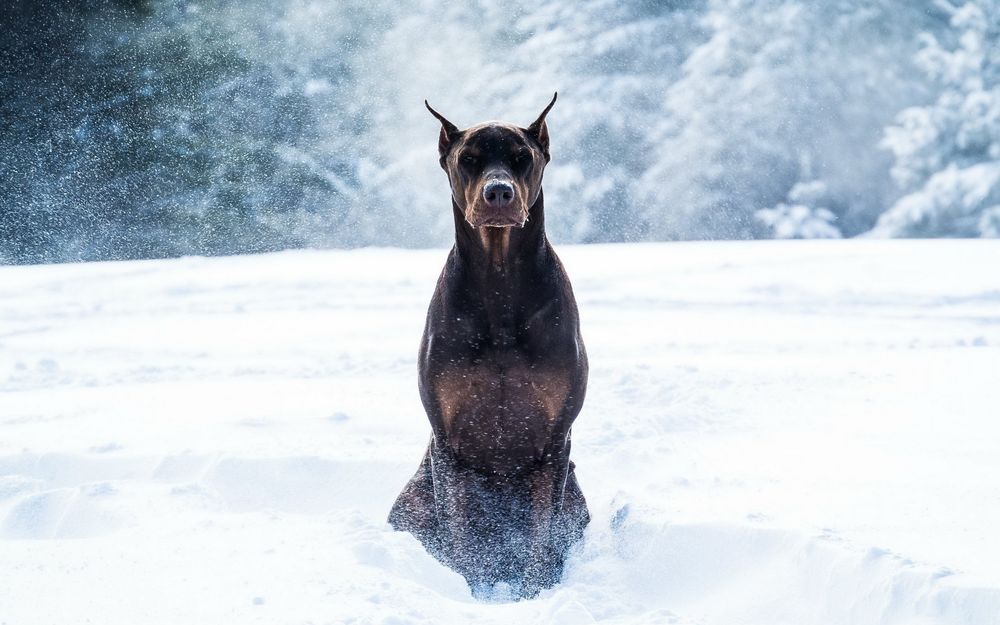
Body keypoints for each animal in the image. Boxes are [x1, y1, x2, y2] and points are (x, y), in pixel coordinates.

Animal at [388, 92, 592, 596]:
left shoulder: (555, 441)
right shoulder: (449, 442)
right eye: (468, 159)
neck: (500, 284)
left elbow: (541, 536)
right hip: (412, 500)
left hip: (576, 496)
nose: (498, 192)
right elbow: (461, 536)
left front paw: (534, 593)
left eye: (523, 158)